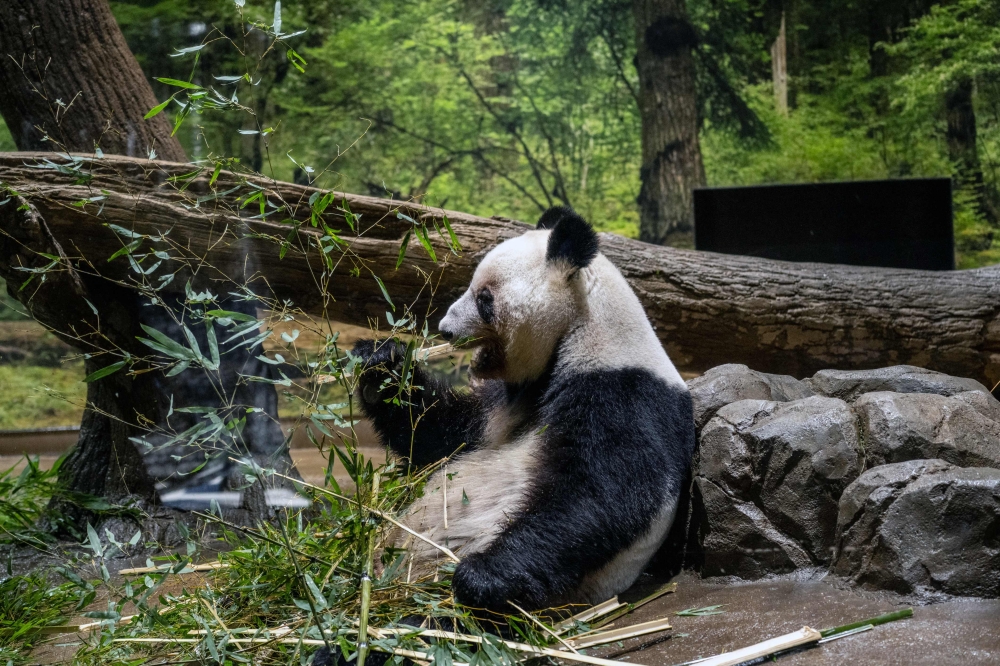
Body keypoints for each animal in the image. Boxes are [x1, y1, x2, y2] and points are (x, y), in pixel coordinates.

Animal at [352, 206, 695, 612]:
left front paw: (480, 576)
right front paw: (379, 364)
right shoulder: (507, 401)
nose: (445, 329)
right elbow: (444, 437)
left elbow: (606, 494)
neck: (580, 330)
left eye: (484, 297)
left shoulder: (623, 392)